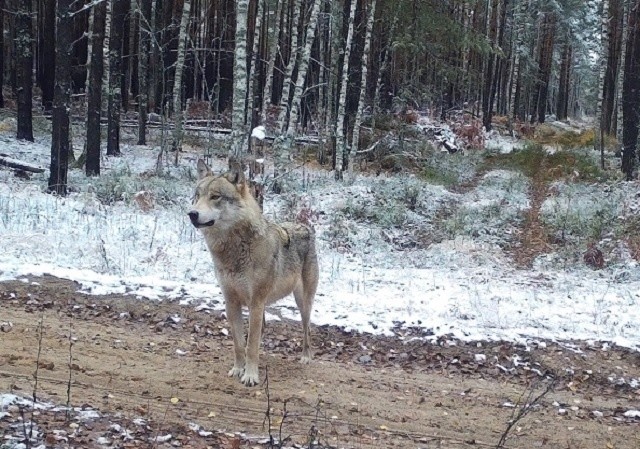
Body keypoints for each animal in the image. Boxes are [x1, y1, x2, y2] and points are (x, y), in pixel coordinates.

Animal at [189, 160, 320, 384]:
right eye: (197, 196)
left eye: (215, 196)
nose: (192, 214)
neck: (235, 248)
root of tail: (304, 226)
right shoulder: (231, 303)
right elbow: (239, 344)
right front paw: (238, 369)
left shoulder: (255, 303)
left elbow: (250, 345)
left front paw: (250, 376)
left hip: (302, 303)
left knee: (307, 329)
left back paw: (305, 357)